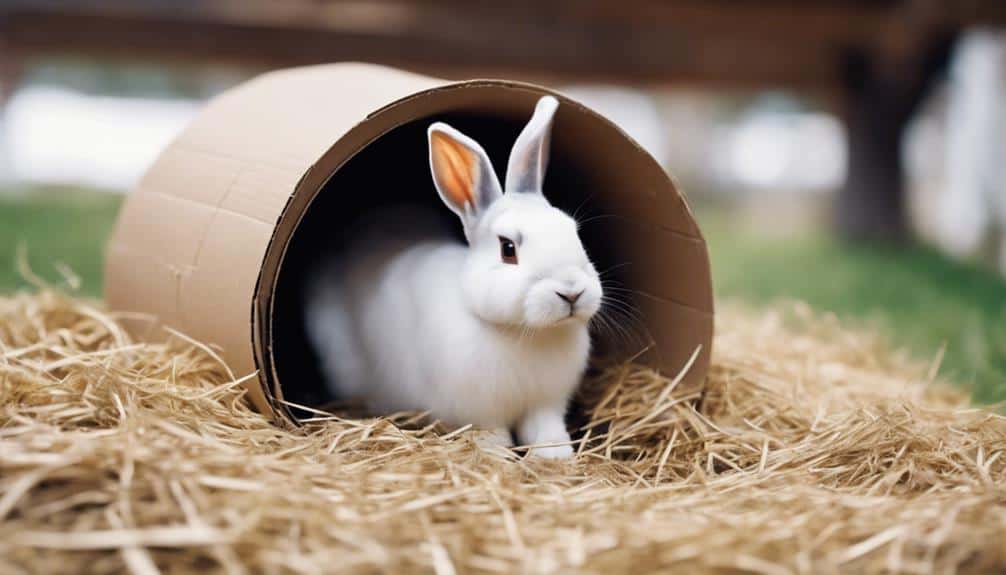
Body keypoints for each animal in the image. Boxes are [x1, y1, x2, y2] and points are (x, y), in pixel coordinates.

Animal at [304, 96, 603, 458]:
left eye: (574, 232)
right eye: (507, 249)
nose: (571, 291)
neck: (524, 332)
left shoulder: (545, 403)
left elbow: (545, 429)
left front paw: (555, 456)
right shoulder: (479, 410)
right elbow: (492, 433)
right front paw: (497, 454)